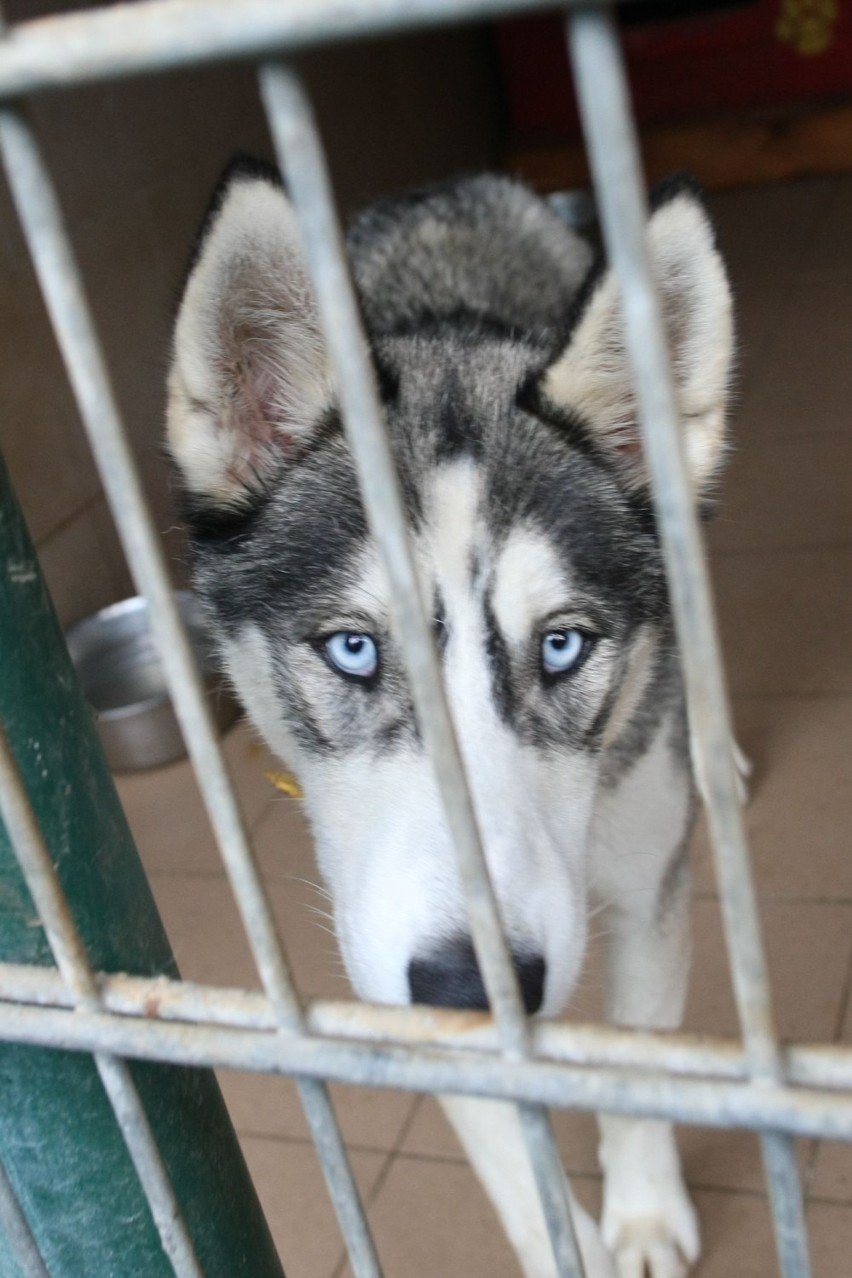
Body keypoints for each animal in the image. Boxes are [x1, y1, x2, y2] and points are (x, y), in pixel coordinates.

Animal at [164, 167, 735, 1278]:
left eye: (562, 646)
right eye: (353, 648)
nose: (478, 982)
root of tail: (452, 187)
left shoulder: (648, 875)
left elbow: (639, 1071)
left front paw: (643, 1216)